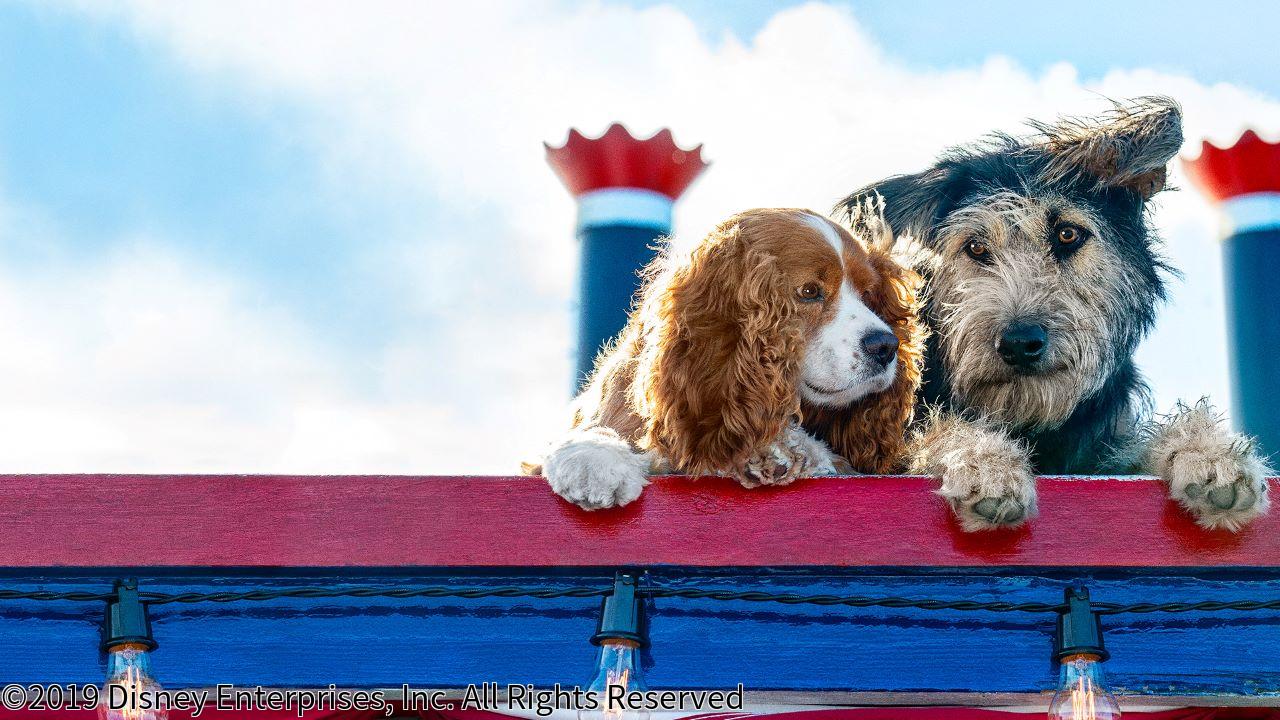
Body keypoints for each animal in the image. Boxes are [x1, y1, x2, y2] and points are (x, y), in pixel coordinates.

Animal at [524, 204, 926, 507]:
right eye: (809, 291)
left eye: (869, 294)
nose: (885, 346)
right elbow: (593, 430)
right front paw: (593, 458)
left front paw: (782, 451)